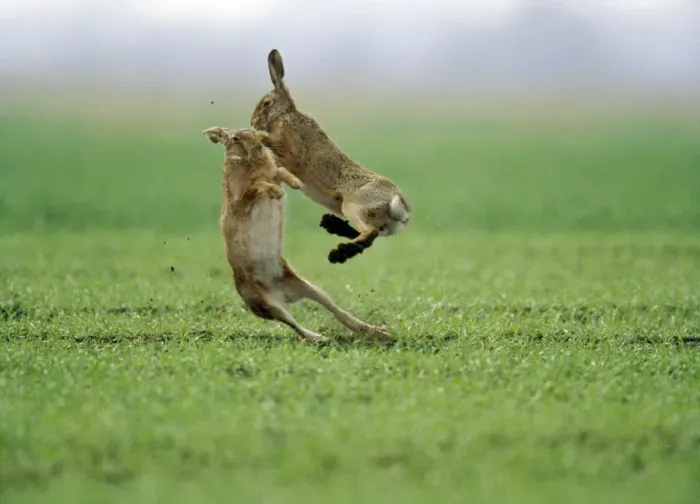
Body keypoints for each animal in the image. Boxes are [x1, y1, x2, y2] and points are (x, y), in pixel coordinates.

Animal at [203, 126, 391, 344]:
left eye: (252, 133)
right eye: (234, 138)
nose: (258, 146)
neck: (251, 161)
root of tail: (281, 293)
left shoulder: (272, 174)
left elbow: (278, 172)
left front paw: (295, 183)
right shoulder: (240, 200)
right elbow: (257, 186)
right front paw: (276, 192)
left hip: (307, 286)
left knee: (334, 311)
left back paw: (378, 332)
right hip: (266, 304)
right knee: (294, 326)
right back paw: (320, 338)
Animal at [250, 49, 412, 265]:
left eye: (267, 103)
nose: (252, 122)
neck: (284, 115)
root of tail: (399, 204)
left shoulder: (291, 151)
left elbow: (273, 145)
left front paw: (252, 135)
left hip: (353, 205)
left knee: (369, 234)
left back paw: (338, 252)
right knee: (369, 237)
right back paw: (334, 229)